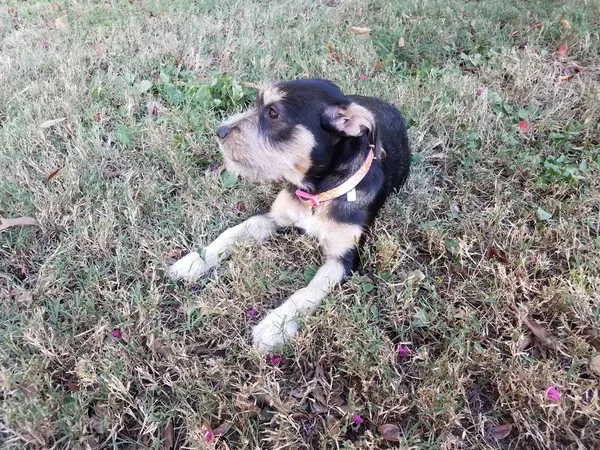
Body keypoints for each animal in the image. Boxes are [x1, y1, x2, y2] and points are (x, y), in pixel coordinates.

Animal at [171, 79, 410, 354]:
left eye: (274, 113)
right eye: (256, 104)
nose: (219, 131)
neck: (319, 192)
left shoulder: (344, 260)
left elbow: (309, 290)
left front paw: (275, 326)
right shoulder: (271, 216)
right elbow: (231, 233)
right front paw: (193, 261)